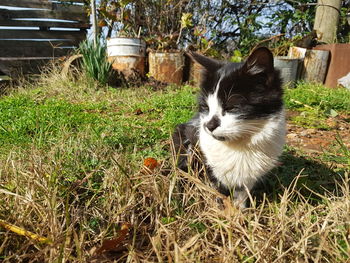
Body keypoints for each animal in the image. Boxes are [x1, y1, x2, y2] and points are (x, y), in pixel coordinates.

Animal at [172, 47, 284, 208]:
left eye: (232, 107)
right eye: (206, 107)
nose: (209, 125)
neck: (239, 146)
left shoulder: (247, 180)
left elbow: (241, 194)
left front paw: (240, 211)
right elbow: (214, 190)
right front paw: (219, 209)